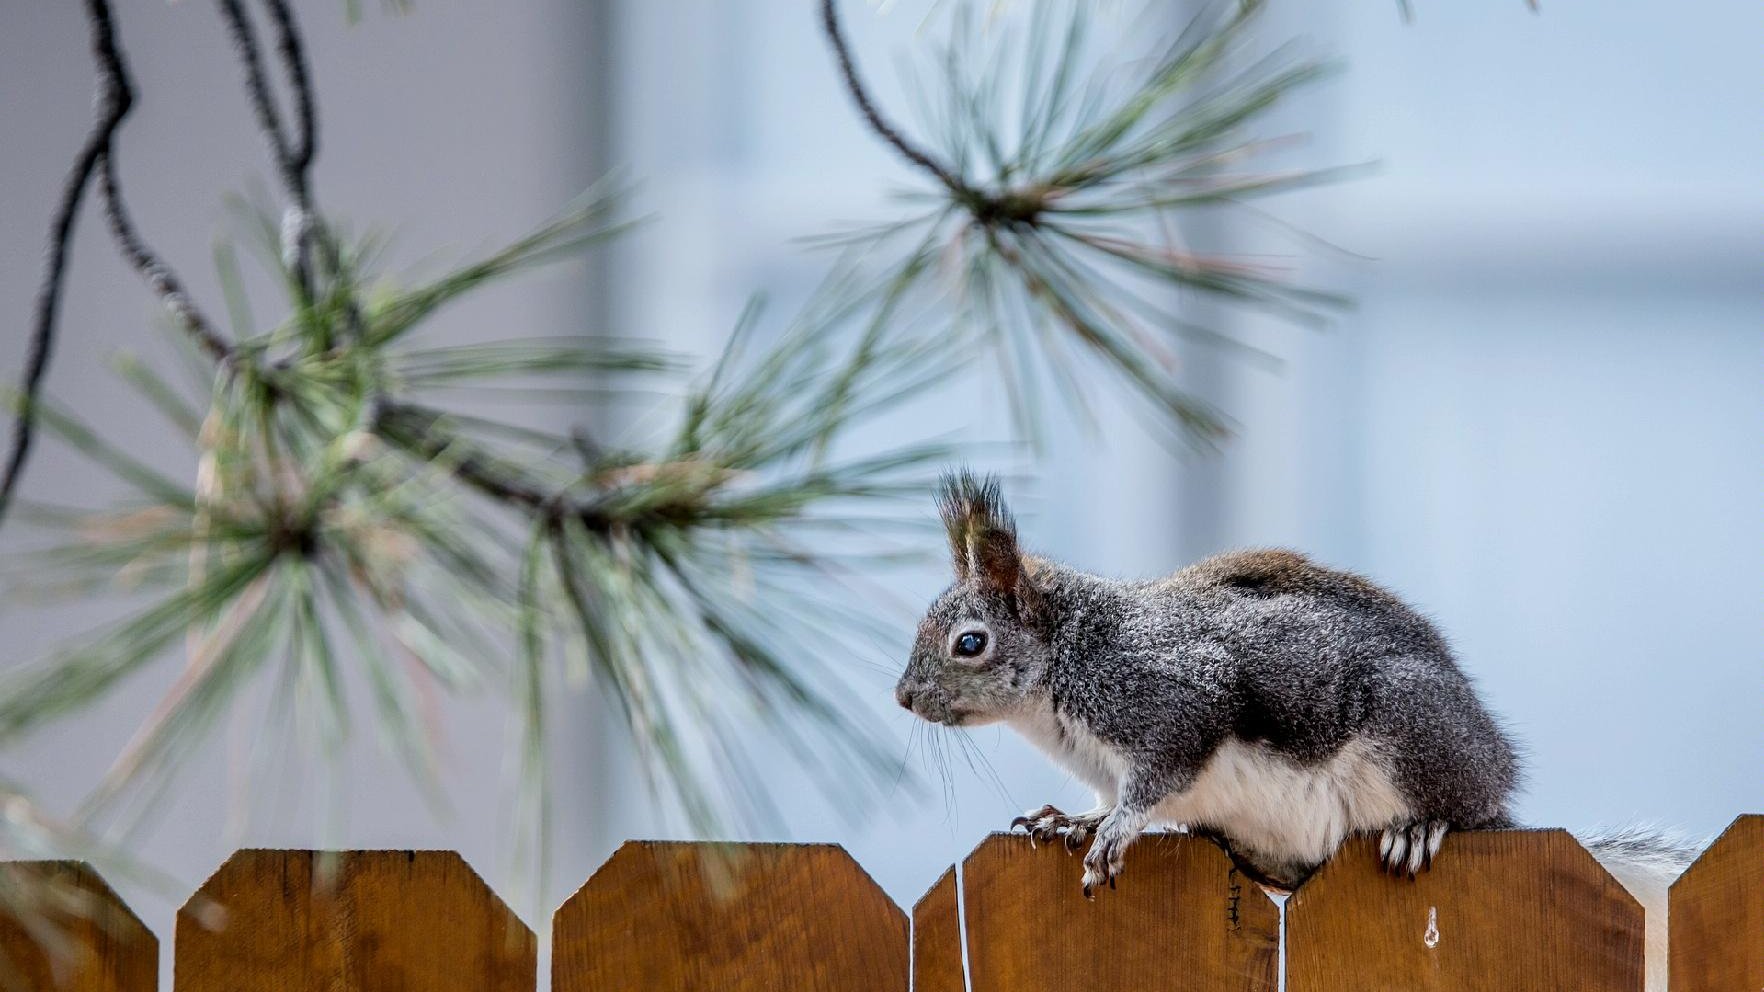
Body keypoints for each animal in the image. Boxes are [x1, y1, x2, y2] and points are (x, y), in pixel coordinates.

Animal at [903, 469, 1700, 981]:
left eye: (969, 643)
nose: (904, 698)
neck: (1071, 660)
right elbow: (1105, 798)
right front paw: (1071, 821)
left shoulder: (1173, 698)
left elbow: (1156, 779)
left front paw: (1115, 833)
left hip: (1411, 731)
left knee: (1457, 806)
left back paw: (1422, 826)